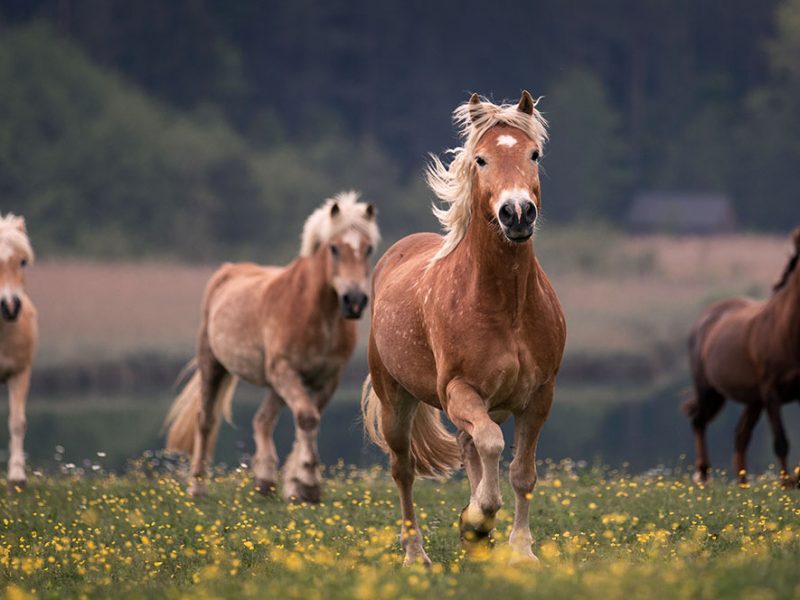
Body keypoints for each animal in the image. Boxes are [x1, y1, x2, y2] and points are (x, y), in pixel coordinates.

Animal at [164, 192, 380, 502]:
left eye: (369, 248)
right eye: (334, 248)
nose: (354, 300)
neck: (315, 313)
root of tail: (226, 271)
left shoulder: (327, 379)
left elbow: (307, 421)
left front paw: (297, 486)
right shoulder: (285, 370)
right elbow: (307, 418)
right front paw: (309, 484)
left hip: (274, 385)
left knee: (262, 421)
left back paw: (264, 481)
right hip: (213, 365)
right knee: (205, 420)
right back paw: (198, 487)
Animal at [360, 91, 564, 564]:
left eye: (534, 154)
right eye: (481, 159)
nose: (517, 213)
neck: (507, 306)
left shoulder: (539, 396)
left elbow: (522, 473)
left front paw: (520, 551)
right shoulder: (460, 391)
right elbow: (491, 445)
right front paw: (476, 518)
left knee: (469, 452)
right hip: (396, 402)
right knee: (404, 471)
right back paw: (416, 554)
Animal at [684, 227, 800, 486]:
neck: (786, 331)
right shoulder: (771, 391)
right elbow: (781, 441)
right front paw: (787, 484)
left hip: (752, 399)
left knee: (740, 435)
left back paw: (743, 484)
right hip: (711, 391)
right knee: (699, 420)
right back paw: (703, 475)